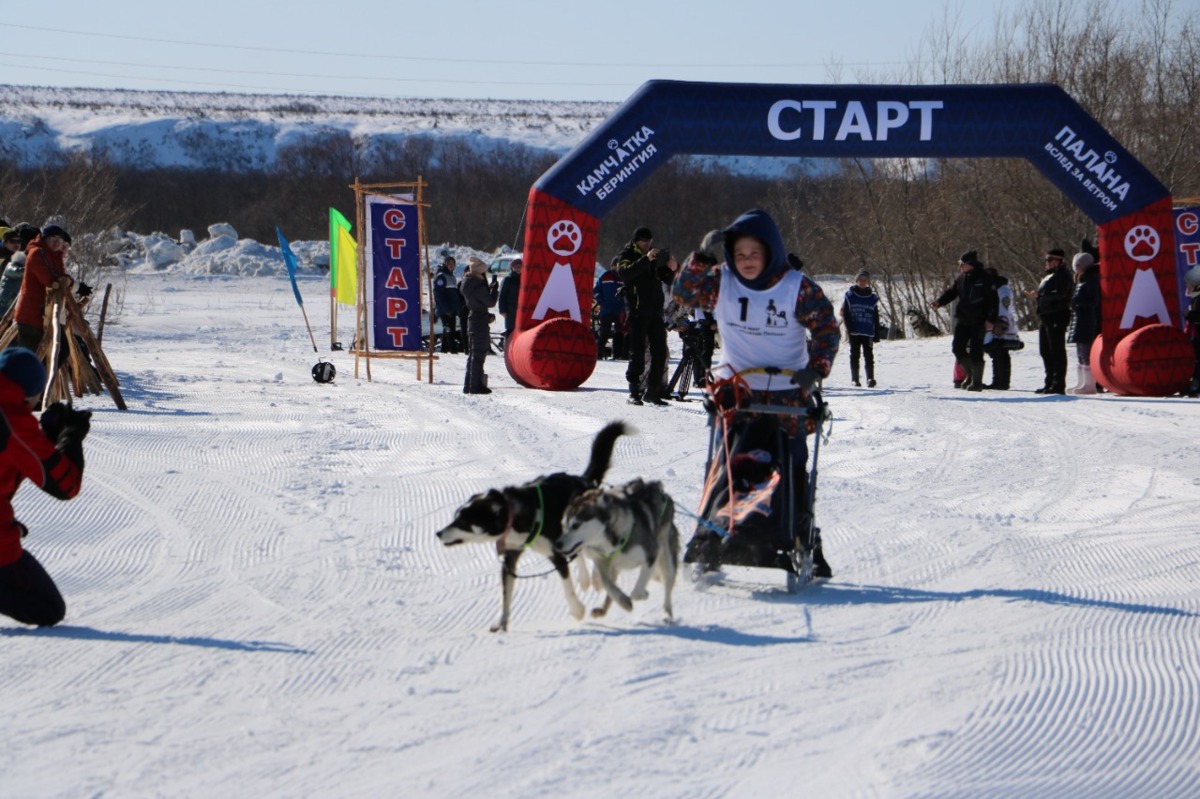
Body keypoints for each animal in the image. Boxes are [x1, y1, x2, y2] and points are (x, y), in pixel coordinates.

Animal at [439, 419, 628, 633]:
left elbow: (567, 586)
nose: (438, 533)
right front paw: (501, 623)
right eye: (455, 517)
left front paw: (577, 610)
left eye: (463, 521)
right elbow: (505, 594)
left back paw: (595, 580)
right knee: (580, 552)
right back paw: (586, 579)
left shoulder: (556, 555)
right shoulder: (510, 558)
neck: (515, 515)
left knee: (592, 551)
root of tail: (584, 481)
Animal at [556, 475, 681, 619]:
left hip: (666, 558)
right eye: (563, 525)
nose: (557, 544)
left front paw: (643, 594)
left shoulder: (651, 554)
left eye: (576, 525)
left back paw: (667, 612)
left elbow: (636, 592)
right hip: (615, 567)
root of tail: (658, 489)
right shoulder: (602, 561)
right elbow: (606, 583)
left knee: (668, 584)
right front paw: (623, 601)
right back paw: (603, 609)